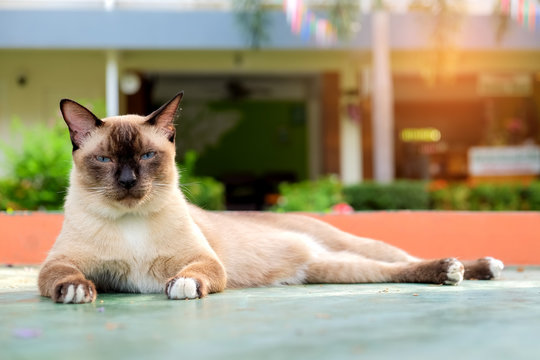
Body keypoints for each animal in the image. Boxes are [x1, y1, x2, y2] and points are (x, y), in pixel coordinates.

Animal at [39, 91, 506, 302]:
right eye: (105, 159)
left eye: (147, 156)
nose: (128, 180)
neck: (131, 221)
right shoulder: (63, 265)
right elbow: (66, 276)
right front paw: (77, 292)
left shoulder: (206, 262)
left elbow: (190, 276)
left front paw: (182, 287)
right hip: (332, 270)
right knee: (392, 270)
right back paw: (458, 271)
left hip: (355, 246)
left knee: (406, 258)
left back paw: (473, 266)